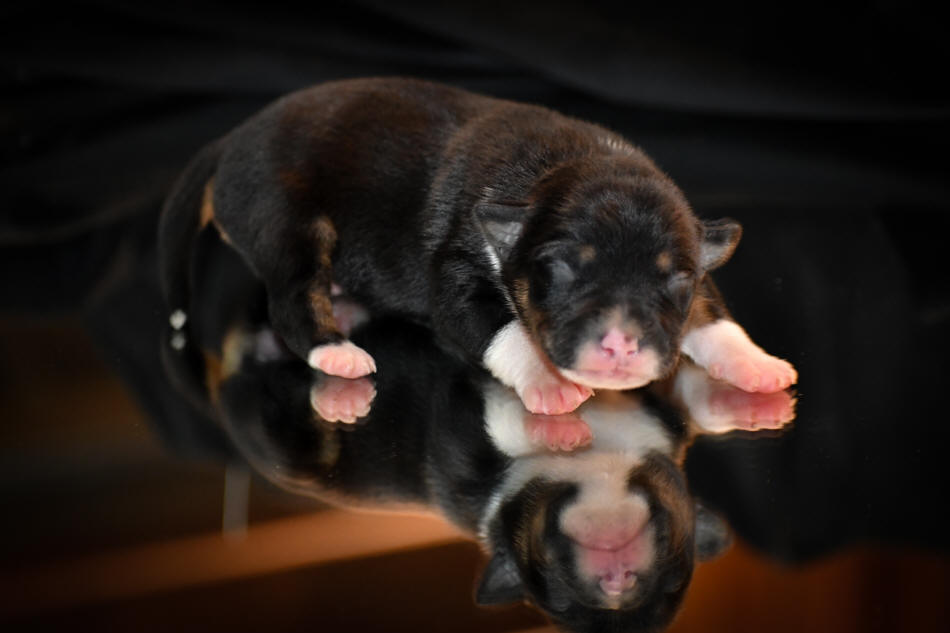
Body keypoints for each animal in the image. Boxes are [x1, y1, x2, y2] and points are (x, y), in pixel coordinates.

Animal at [158, 77, 797, 429]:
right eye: (560, 270)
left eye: (674, 283)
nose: (619, 346)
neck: (566, 162)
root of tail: (230, 140)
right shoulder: (457, 274)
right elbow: (497, 327)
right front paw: (548, 384)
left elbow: (711, 315)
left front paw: (756, 363)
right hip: (291, 221)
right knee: (292, 300)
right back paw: (337, 351)